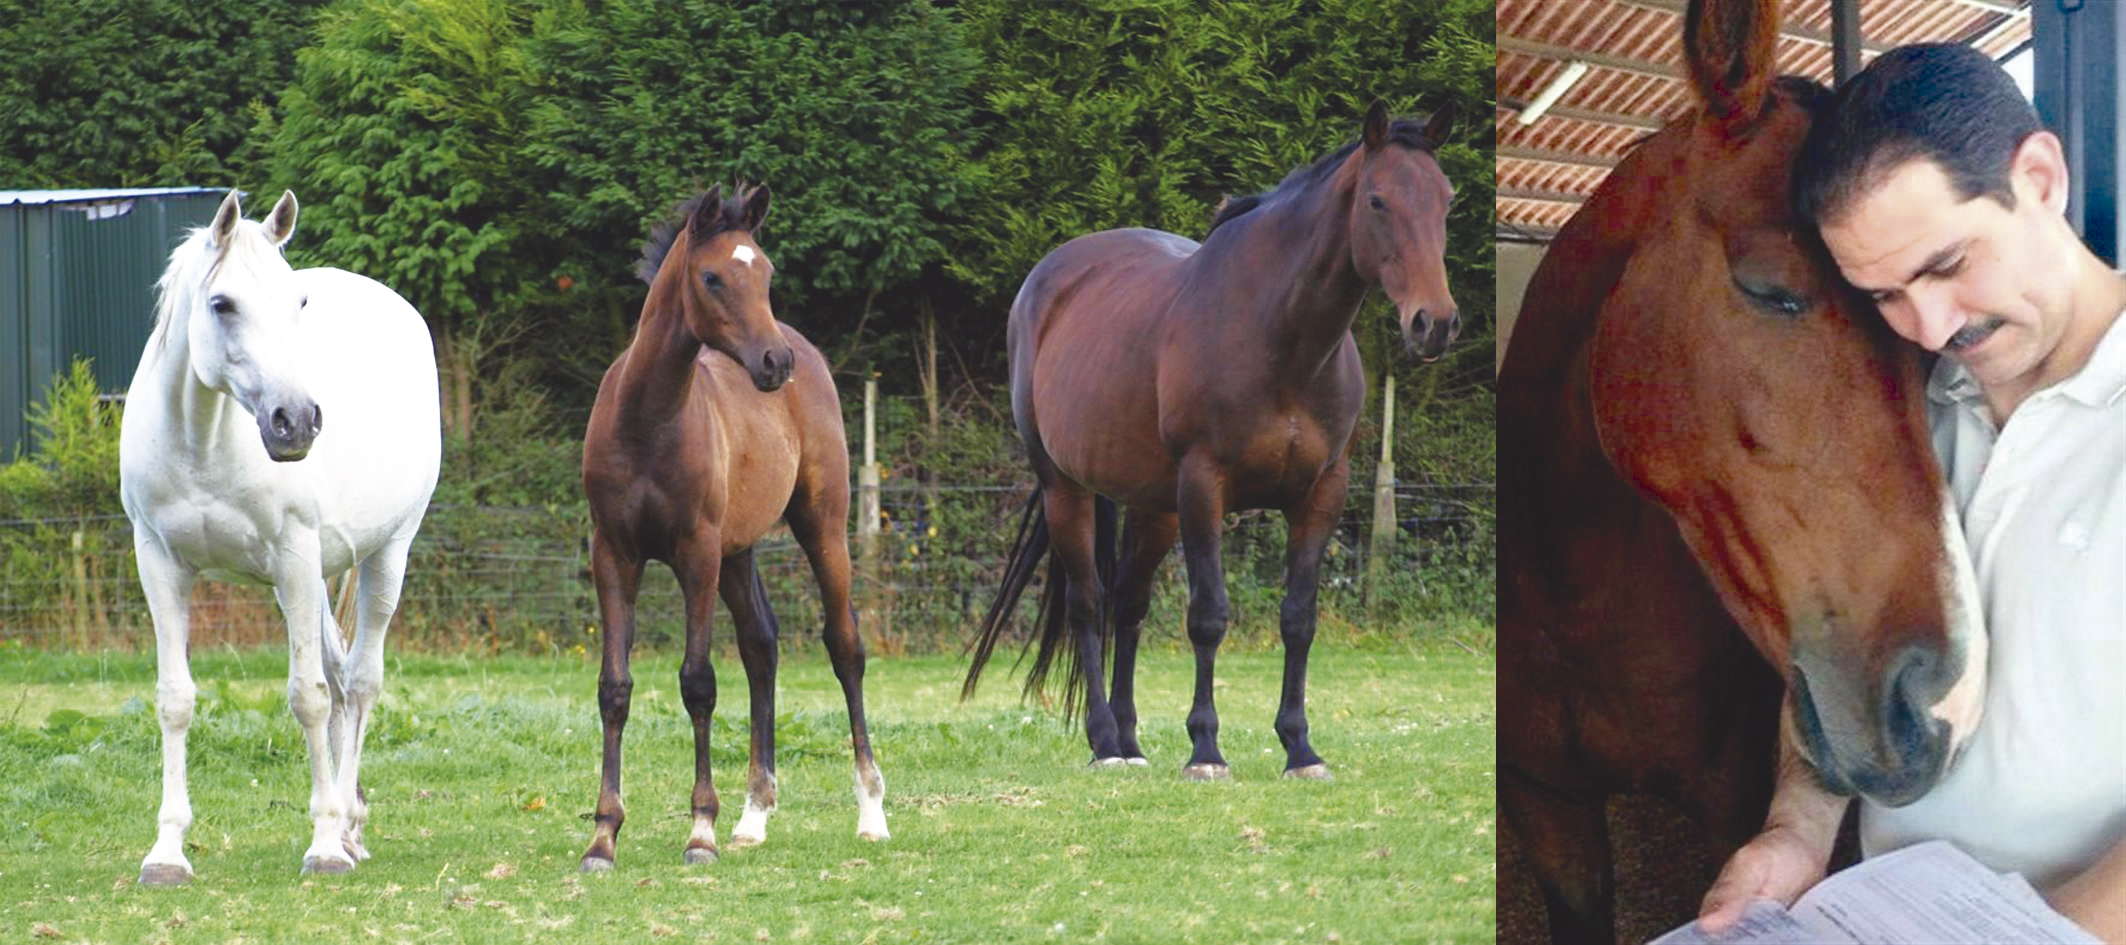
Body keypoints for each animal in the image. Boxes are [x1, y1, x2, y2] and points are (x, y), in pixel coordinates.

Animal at [119, 189, 441, 883]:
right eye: (222, 303)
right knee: (343, 676)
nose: (296, 421)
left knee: (360, 681)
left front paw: (323, 845)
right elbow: (175, 698)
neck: (205, 442)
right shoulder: (160, 564)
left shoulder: (294, 559)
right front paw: (167, 853)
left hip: (386, 556)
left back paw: (344, 829)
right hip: (316, 577)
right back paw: (351, 823)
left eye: (298, 302)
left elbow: (308, 697)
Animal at [576, 183, 885, 871]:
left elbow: (698, 683)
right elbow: (615, 687)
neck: (647, 420)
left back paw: (872, 811)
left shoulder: (697, 554)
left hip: (821, 525)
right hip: (740, 551)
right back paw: (755, 815)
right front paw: (603, 836)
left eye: (766, 272)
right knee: (761, 646)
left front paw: (701, 832)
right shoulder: (614, 553)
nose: (774, 363)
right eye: (712, 276)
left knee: (844, 646)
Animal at [962, 101, 1460, 779]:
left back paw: (1130, 741)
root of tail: (1048, 279)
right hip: (1067, 487)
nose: (1434, 324)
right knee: (1089, 603)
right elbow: (1208, 616)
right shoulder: (1204, 486)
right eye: (1378, 201)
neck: (1279, 338)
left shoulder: (1322, 493)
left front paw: (1300, 748)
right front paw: (1205, 748)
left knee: (1129, 606)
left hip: (1153, 506)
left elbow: (1298, 618)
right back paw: (1104, 743)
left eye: (1447, 201)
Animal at [1496, 0, 1987, 942]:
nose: (1942, 702)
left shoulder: (1730, 801)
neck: (1576, 606)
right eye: (1769, 288)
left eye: (1927, 350)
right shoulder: (1548, 807)